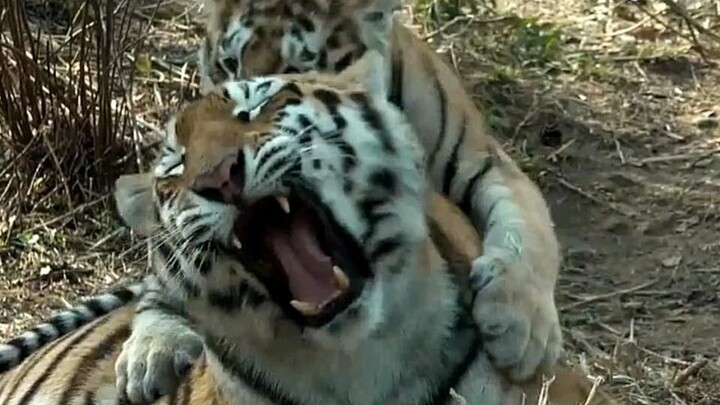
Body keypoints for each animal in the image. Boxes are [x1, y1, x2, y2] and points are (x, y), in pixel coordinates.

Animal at [0, 53, 614, 405]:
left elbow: (522, 221)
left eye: (257, 108)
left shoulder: (483, 161)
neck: (358, 358)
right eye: (174, 170)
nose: (218, 177)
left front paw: (518, 323)